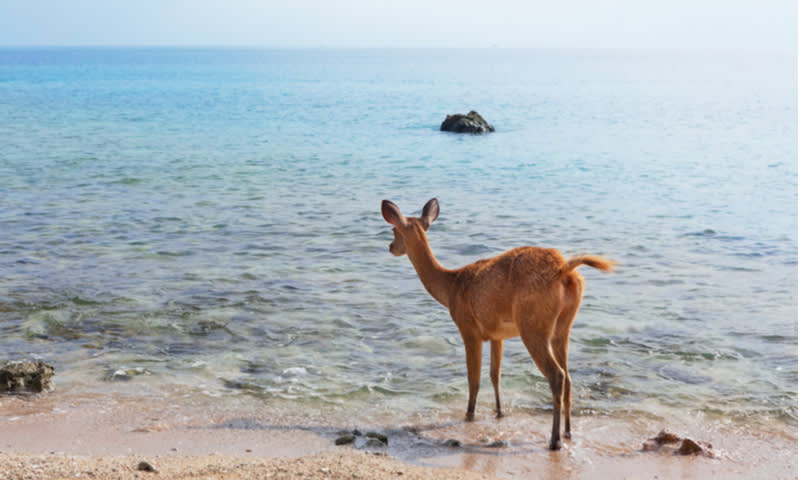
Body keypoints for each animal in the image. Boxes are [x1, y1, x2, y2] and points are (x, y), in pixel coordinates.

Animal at [382, 198, 620, 450]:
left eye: (394, 230)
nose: (391, 246)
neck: (451, 287)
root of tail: (564, 272)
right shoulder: (497, 335)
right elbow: (494, 374)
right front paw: (499, 412)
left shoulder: (468, 328)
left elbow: (474, 378)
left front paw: (469, 415)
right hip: (563, 327)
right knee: (569, 377)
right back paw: (568, 432)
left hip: (533, 326)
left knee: (557, 375)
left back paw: (554, 440)